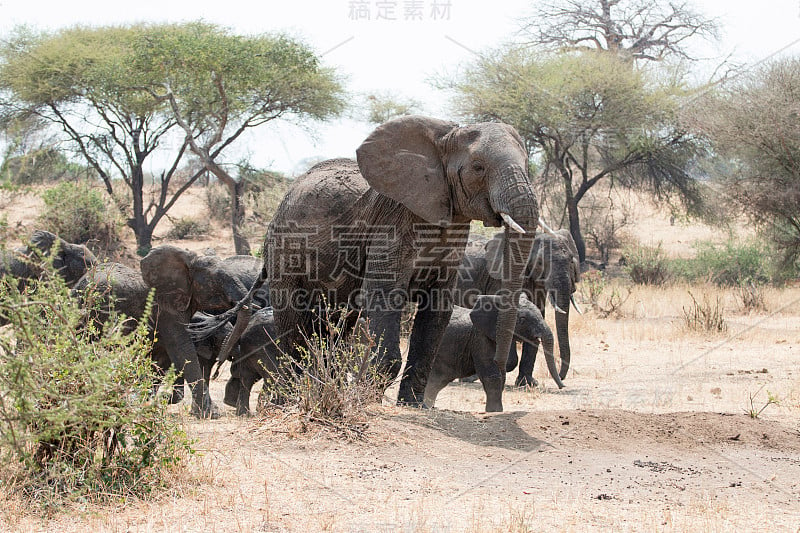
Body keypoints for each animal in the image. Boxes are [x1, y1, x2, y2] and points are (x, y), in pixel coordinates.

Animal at [197, 114, 540, 410]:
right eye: (479, 167)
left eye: (527, 164)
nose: (500, 361)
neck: (442, 139)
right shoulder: (393, 221)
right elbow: (386, 296)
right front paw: (369, 401)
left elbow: (437, 308)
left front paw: (412, 406)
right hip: (284, 251)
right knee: (294, 322)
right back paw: (289, 401)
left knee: (336, 327)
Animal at [424, 296, 564, 412]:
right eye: (522, 319)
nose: (562, 386)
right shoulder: (480, 338)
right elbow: (492, 374)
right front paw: (495, 411)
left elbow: (502, 372)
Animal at [454, 230, 580, 386]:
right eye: (539, 263)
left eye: (571, 260)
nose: (562, 378)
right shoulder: (500, 280)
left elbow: (537, 316)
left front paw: (527, 383)